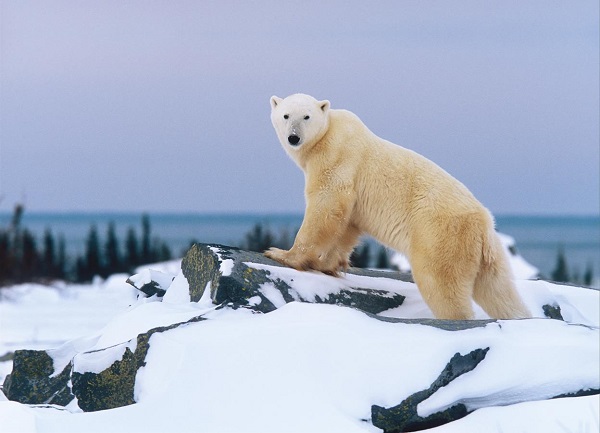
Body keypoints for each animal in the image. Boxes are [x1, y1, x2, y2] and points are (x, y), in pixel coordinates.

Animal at [266, 93, 528, 318]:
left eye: (306, 116)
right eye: (286, 115)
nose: (294, 137)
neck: (328, 133)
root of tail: (484, 223)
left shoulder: (337, 157)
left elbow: (326, 206)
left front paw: (283, 254)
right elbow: (347, 225)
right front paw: (327, 265)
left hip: (440, 235)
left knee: (440, 284)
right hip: (488, 253)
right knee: (499, 291)